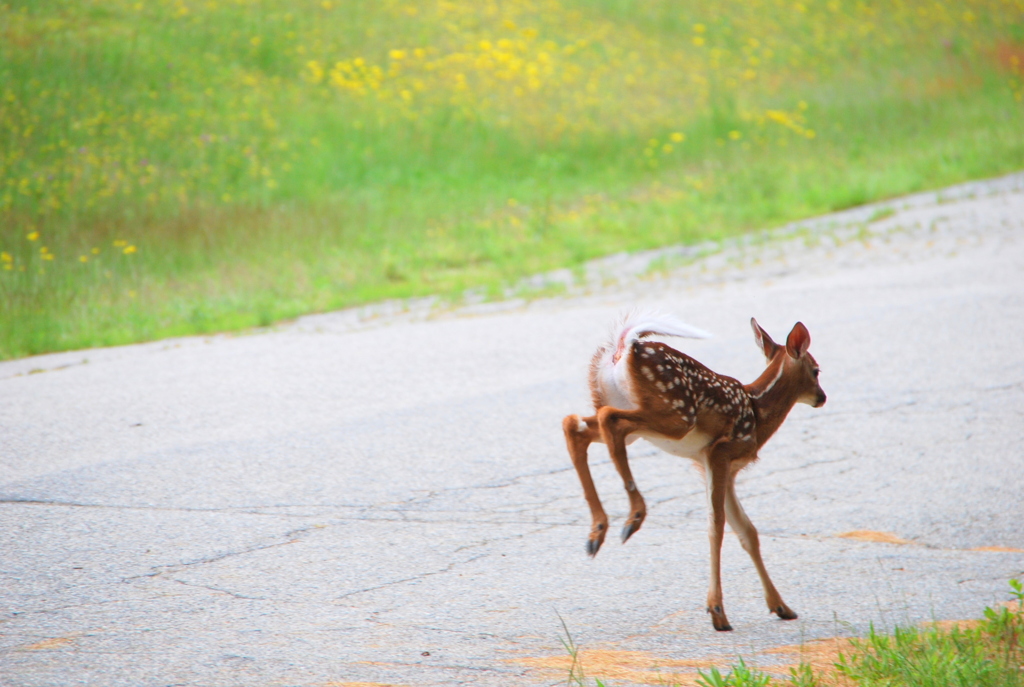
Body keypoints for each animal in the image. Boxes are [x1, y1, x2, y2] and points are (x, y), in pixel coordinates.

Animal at [565, 311, 827, 634]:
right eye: (816, 370)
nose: (822, 397)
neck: (757, 411)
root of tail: (625, 345)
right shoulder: (720, 452)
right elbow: (717, 525)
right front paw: (717, 611)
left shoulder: (720, 467)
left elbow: (748, 531)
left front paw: (782, 607)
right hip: (676, 415)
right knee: (609, 420)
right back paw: (633, 516)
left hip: (631, 412)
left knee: (576, 424)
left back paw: (597, 532)